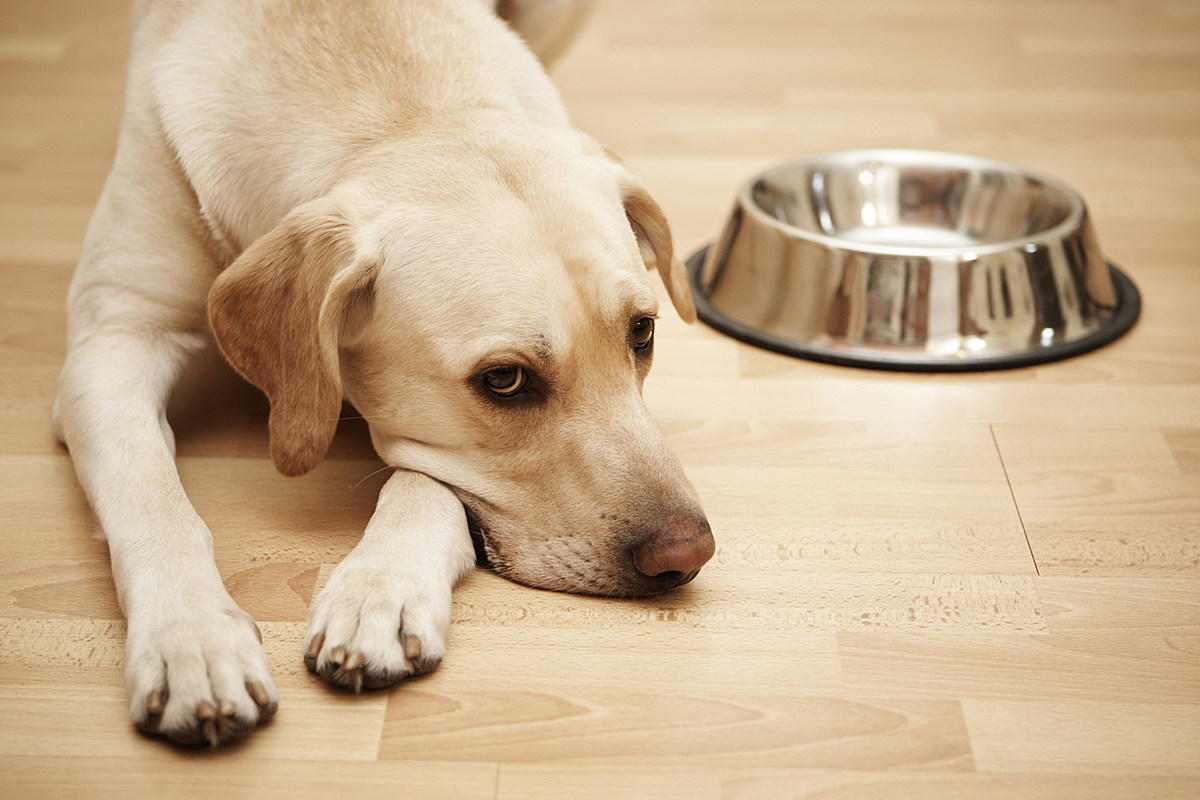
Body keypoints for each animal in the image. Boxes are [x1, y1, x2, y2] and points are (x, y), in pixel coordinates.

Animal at [54, 0, 710, 753]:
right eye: (505, 380)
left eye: (642, 332)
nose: (689, 552)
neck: (400, 109)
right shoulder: (112, 341)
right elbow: (153, 499)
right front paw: (192, 640)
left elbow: (426, 483)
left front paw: (380, 592)